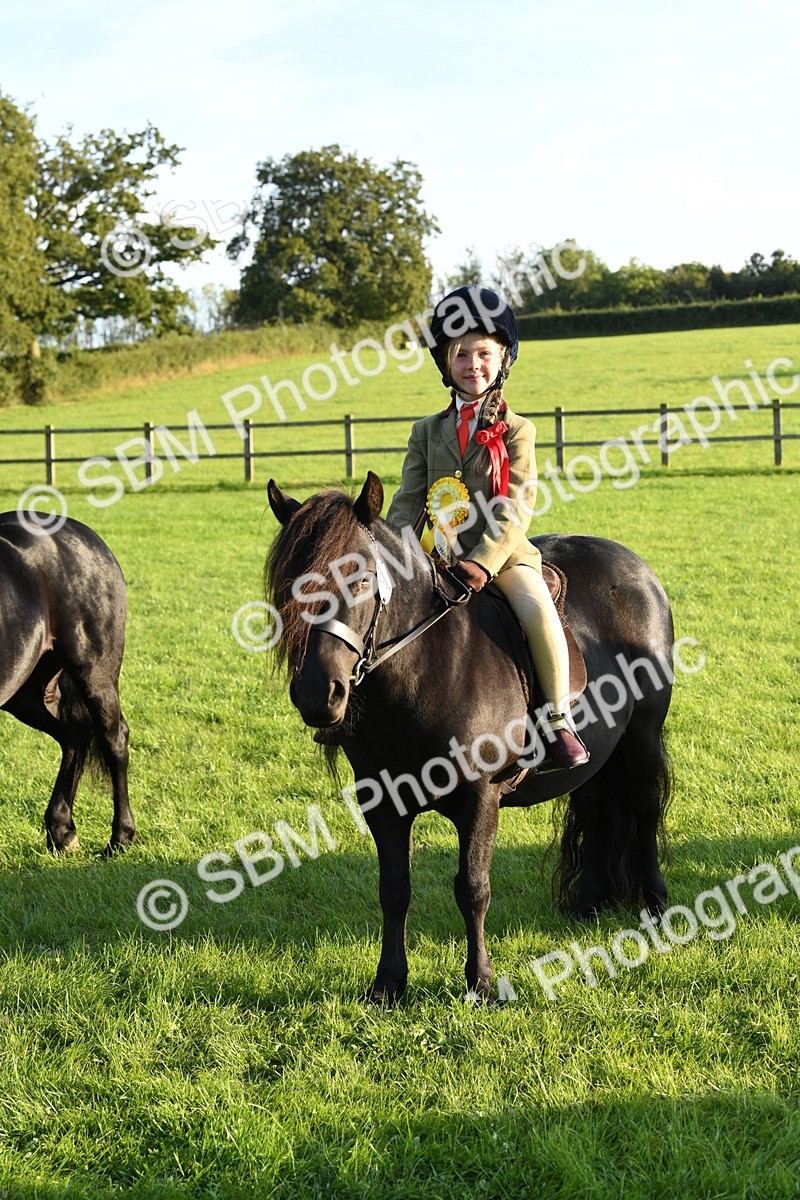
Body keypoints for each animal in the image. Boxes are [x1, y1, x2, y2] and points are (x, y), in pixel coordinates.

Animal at [0, 513, 134, 855]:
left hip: (95, 671)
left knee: (113, 738)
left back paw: (120, 837)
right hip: (26, 691)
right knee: (74, 734)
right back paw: (62, 831)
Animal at [266, 472, 673, 1003]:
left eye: (361, 580)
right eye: (289, 586)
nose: (318, 694)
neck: (422, 670)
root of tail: (637, 570)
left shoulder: (480, 800)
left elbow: (473, 889)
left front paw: (479, 982)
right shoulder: (383, 804)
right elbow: (394, 889)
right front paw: (388, 983)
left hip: (642, 736)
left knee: (644, 811)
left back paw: (657, 904)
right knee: (596, 807)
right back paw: (588, 904)